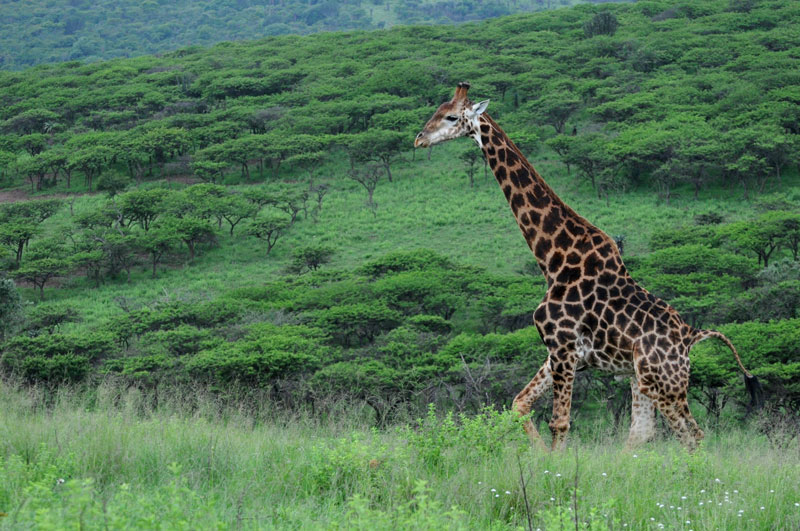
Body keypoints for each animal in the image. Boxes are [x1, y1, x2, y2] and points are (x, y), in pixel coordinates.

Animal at [416, 81, 760, 450]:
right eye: (436, 110)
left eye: (451, 116)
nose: (419, 139)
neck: (553, 258)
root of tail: (692, 335)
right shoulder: (561, 352)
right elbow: (519, 403)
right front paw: (538, 458)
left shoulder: (564, 346)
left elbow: (560, 423)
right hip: (641, 378)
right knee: (645, 432)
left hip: (665, 382)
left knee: (692, 434)